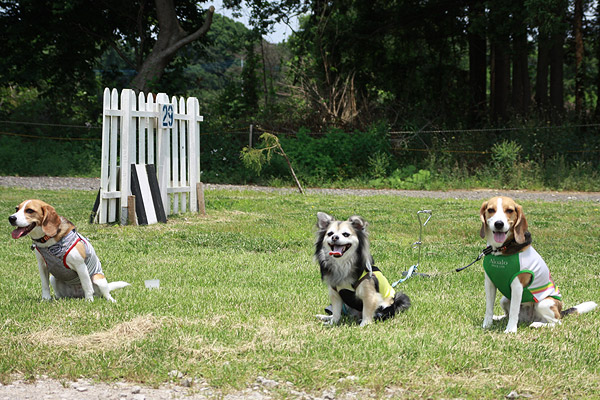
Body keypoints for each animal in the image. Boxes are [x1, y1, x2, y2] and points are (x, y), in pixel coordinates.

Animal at [478, 196, 596, 332]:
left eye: (509, 210)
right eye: (491, 210)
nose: (499, 224)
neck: (501, 250)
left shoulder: (517, 286)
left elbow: (513, 310)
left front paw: (510, 330)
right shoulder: (489, 283)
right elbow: (489, 308)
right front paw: (487, 324)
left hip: (544, 303)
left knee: (556, 322)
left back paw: (537, 324)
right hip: (504, 299)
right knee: (508, 315)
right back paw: (499, 318)